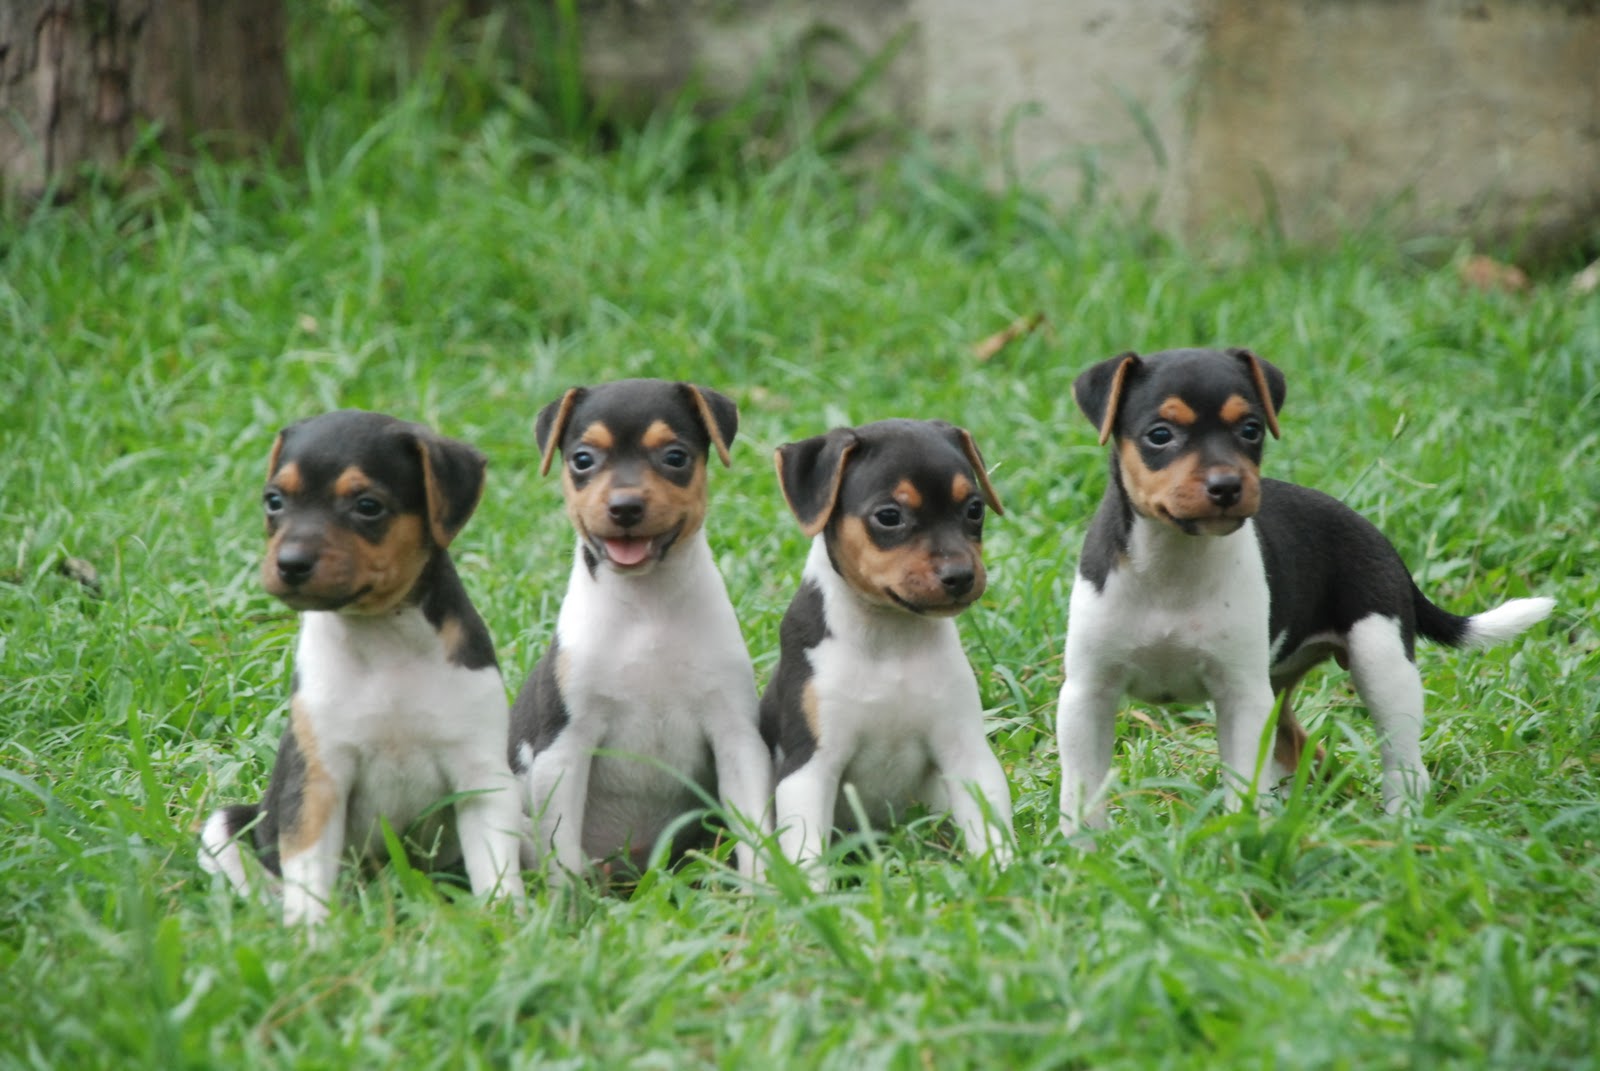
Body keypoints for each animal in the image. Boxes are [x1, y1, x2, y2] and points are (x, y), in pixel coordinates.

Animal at [197, 413, 524, 928]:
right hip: (225, 824)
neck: (382, 638)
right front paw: (309, 934)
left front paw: (506, 923)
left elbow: (497, 870)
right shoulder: (318, 778)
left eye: (367, 506)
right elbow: (308, 870)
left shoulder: (481, 777)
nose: (289, 564)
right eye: (274, 500)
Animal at [505, 379, 768, 883]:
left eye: (675, 457)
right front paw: (569, 902)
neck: (648, 608)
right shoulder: (564, 746)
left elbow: (756, 833)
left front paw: (764, 891)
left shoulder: (736, 737)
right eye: (582, 459)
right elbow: (561, 849)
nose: (625, 507)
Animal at [758, 416, 1011, 883]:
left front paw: (1006, 875)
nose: (961, 576)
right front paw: (811, 897)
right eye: (889, 516)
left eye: (974, 509)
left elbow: (990, 827)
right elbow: (807, 852)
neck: (889, 638)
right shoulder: (810, 765)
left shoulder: (965, 750)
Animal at [1056, 347, 1555, 832]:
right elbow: (1082, 787)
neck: (1174, 562)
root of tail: (1379, 539)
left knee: (1402, 761)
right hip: (1279, 687)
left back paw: (1400, 826)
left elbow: (1242, 782)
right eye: (1159, 435)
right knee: (1295, 745)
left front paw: (1239, 839)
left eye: (1251, 429)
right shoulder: (1087, 693)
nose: (1227, 486)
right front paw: (1082, 849)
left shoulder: (1241, 695)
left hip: (1381, 663)